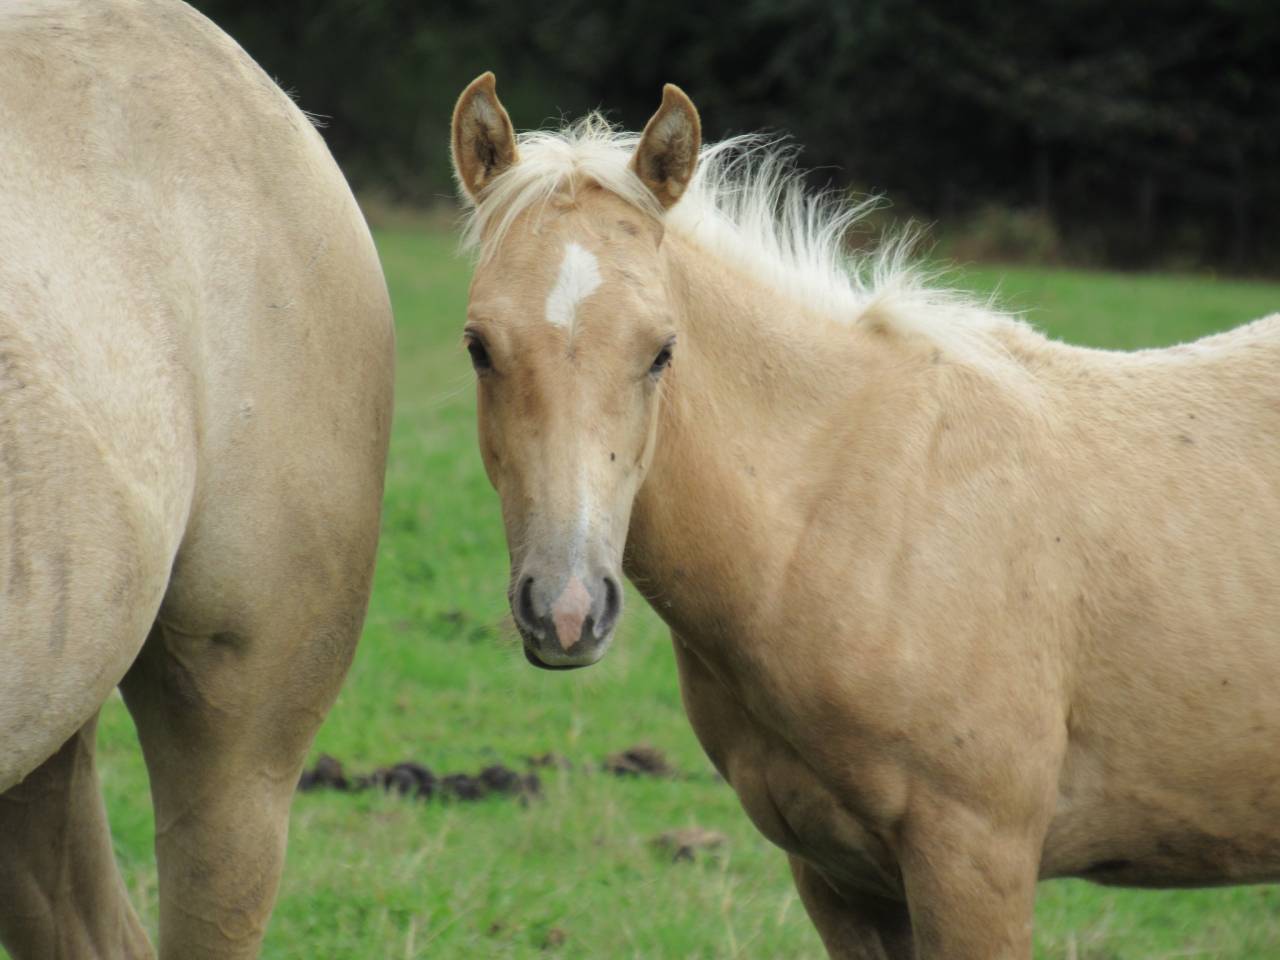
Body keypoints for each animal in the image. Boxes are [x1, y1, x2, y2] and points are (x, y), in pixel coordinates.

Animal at [450, 72, 1280, 958]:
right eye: (478, 347)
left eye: (661, 350)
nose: (566, 612)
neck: (846, 517)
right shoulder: (838, 878)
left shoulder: (976, 862)